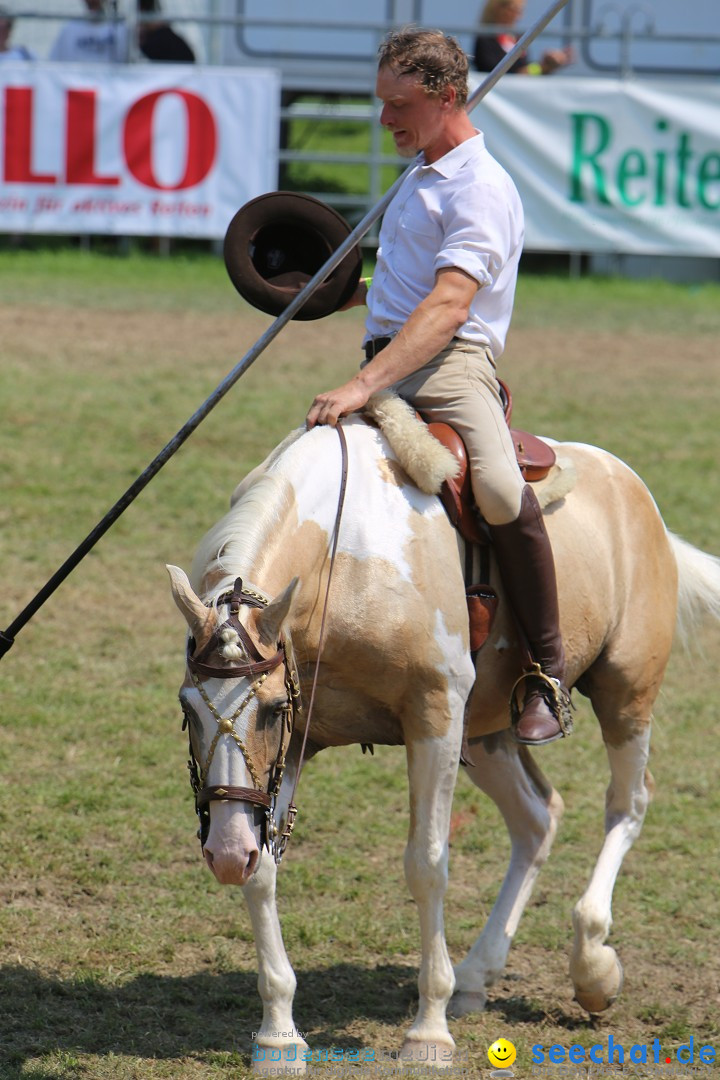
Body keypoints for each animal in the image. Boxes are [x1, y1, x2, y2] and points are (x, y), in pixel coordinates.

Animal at [166, 406, 720, 1071]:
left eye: (271, 710)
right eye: (188, 709)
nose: (223, 852)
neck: (345, 561)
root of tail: (632, 489)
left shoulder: (432, 714)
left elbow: (427, 864)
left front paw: (428, 1033)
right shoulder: (296, 747)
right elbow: (264, 866)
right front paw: (278, 1035)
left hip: (624, 694)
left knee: (628, 803)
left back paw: (593, 968)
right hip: (486, 734)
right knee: (537, 818)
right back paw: (478, 973)